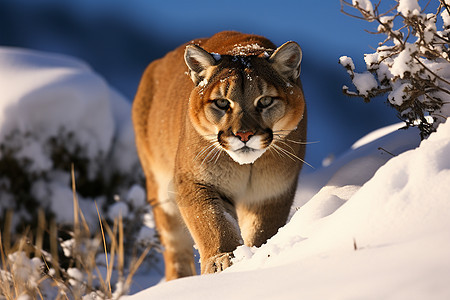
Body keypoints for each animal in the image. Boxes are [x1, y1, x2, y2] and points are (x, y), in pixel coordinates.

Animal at [130, 31, 306, 280]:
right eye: (222, 102)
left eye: (265, 101)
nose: (244, 135)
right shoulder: (196, 181)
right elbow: (212, 222)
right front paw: (222, 260)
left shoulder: (271, 191)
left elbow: (262, 229)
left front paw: (259, 254)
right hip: (161, 192)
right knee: (175, 250)